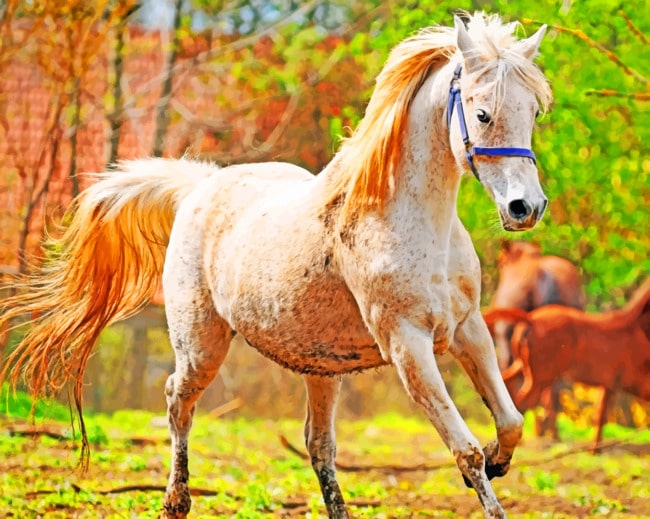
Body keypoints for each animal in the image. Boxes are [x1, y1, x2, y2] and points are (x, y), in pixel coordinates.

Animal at [0, 13, 552, 519]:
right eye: (482, 114)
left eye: (532, 112)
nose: (525, 208)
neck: (408, 221)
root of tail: (201, 187)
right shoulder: (408, 346)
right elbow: (466, 452)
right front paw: (488, 470)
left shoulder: (467, 329)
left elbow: (510, 422)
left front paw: (502, 460)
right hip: (201, 347)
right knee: (178, 400)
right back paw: (175, 502)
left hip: (322, 367)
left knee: (318, 444)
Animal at [483, 278, 650, 451]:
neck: (638, 329)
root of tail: (531, 319)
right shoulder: (627, 381)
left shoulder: (611, 384)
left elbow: (600, 415)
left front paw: (594, 450)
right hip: (541, 377)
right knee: (522, 402)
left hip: (523, 367)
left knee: (506, 384)